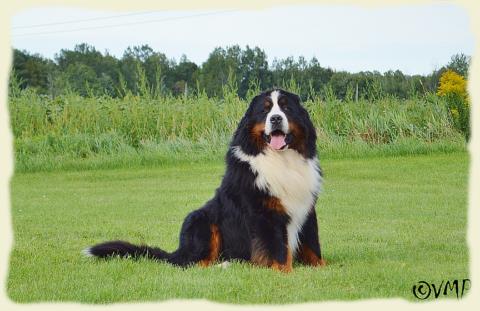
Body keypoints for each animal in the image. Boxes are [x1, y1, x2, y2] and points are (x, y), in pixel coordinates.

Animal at [86, 88, 326, 272]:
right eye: (265, 109)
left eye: (286, 108)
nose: (276, 118)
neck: (282, 160)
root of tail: (178, 251)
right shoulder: (265, 212)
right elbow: (277, 248)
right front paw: (284, 271)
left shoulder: (305, 208)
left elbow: (312, 244)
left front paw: (322, 268)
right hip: (200, 219)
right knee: (193, 263)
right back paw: (224, 265)